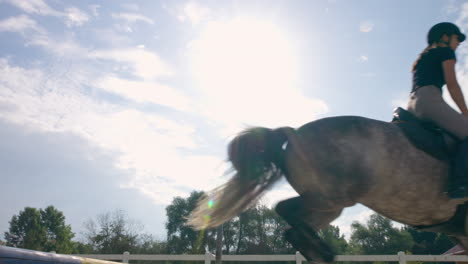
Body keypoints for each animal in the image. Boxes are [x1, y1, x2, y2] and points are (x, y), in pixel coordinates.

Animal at [187, 114, 468, 262]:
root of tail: (292, 133)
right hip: (330, 199)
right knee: (285, 211)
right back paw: (324, 251)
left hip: (328, 208)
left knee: (292, 228)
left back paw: (321, 253)